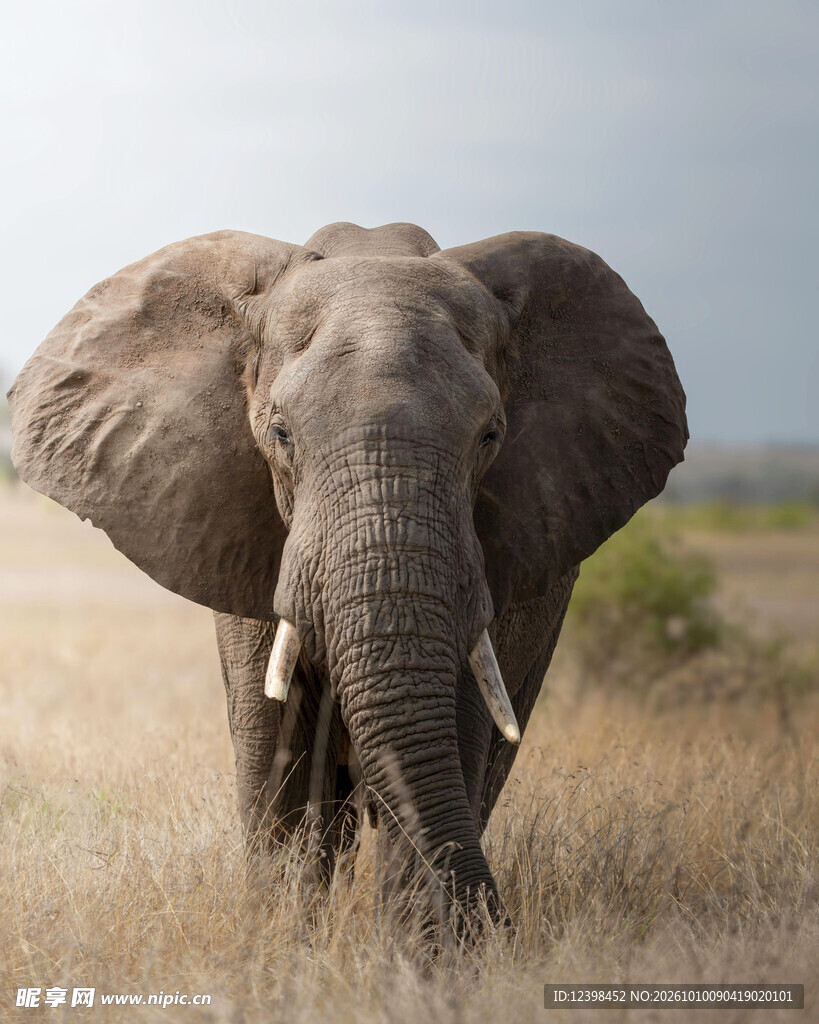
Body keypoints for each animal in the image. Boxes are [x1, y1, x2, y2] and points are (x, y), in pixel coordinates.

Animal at [7, 221, 687, 928]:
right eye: (280, 435)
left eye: (491, 437)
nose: (500, 924)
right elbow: (276, 744)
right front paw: (281, 938)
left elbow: (452, 729)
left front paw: (424, 950)